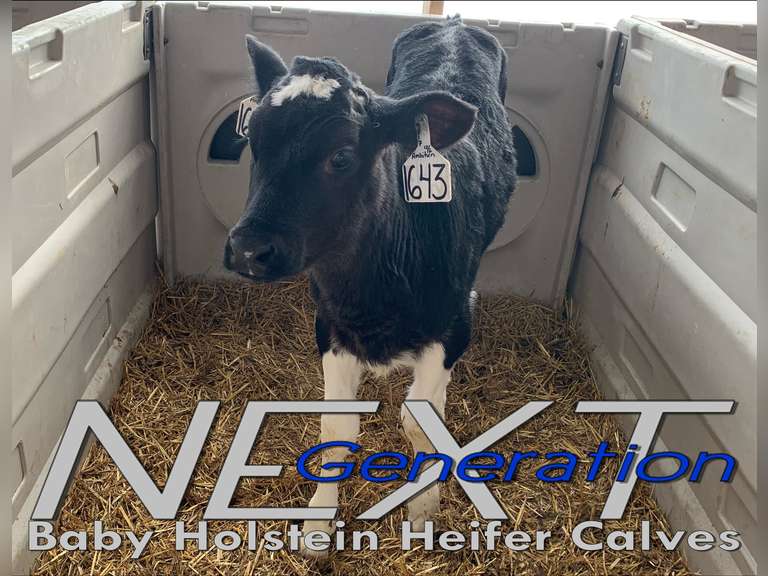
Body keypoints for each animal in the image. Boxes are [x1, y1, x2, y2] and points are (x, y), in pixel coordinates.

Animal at [224, 15, 517, 549]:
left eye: (341, 156)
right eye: (254, 140)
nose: (248, 249)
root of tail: (453, 23)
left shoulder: (456, 322)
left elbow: (421, 424)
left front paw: (422, 511)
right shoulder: (330, 326)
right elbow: (335, 428)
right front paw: (319, 525)